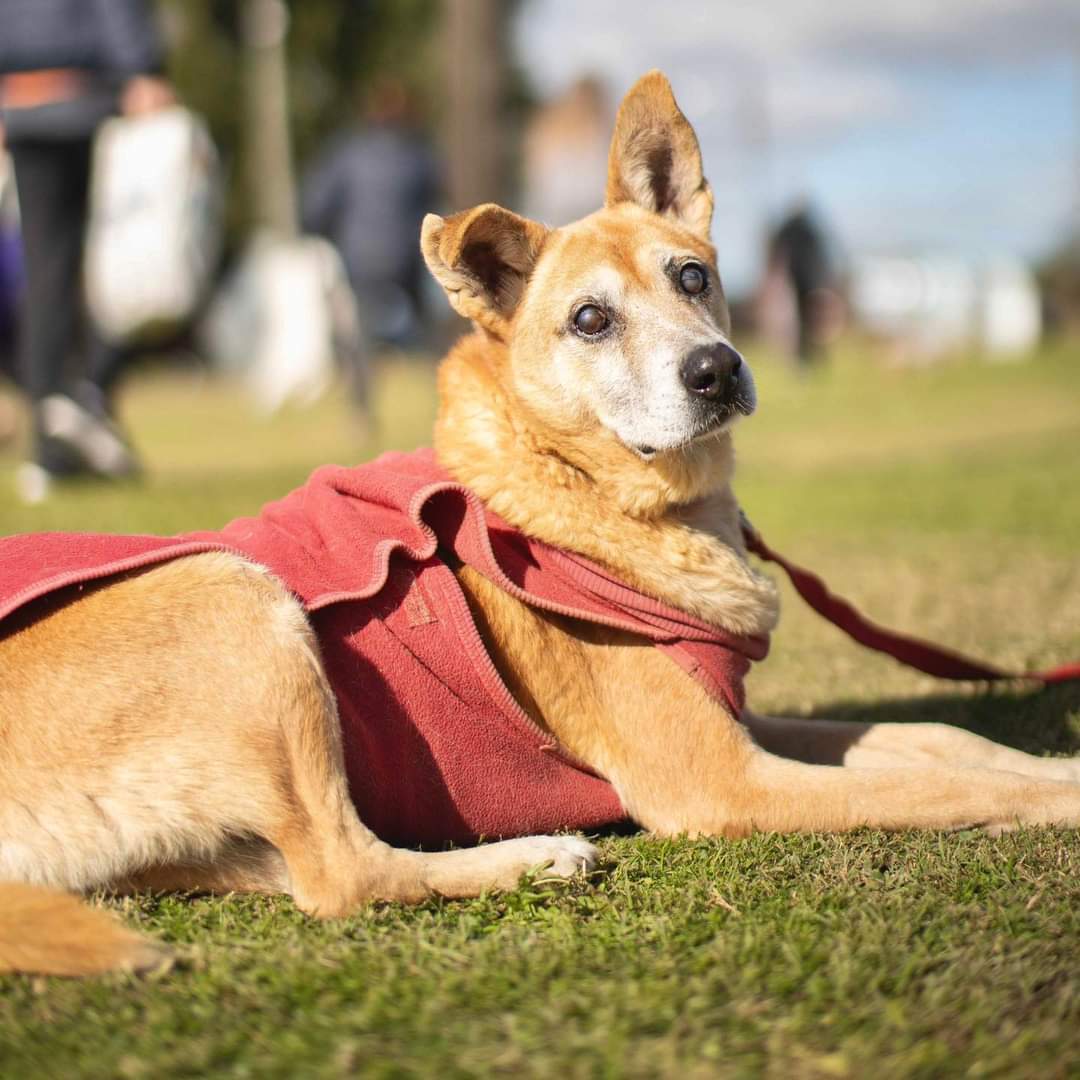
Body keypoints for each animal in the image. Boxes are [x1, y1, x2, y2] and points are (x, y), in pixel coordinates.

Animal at [2, 71, 1080, 976]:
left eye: (692, 277)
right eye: (590, 320)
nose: (717, 370)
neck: (617, 496)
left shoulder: (738, 724)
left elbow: (940, 737)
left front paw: (1043, 758)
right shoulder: (720, 784)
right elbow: (945, 786)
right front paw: (1057, 796)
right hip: (234, 592)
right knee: (344, 877)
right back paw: (533, 857)